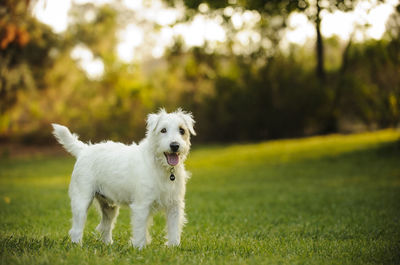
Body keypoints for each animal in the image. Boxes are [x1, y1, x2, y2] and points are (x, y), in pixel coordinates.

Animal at [51, 107, 195, 248]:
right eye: (163, 130)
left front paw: (173, 247)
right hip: (81, 201)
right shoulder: (141, 206)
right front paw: (139, 248)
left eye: (182, 130)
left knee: (105, 226)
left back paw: (108, 245)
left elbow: (174, 229)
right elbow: (140, 230)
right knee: (76, 229)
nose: (175, 145)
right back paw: (77, 246)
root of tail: (84, 150)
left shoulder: (174, 206)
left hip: (109, 207)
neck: (162, 167)